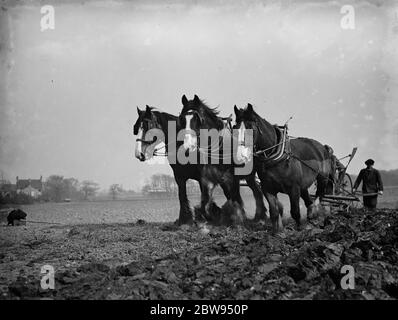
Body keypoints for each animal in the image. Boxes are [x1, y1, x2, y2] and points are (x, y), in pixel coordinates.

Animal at [235, 104, 334, 232]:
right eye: (234, 128)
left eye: (250, 128)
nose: (240, 156)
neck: (276, 156)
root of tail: (322, 147)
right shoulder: (268, 189)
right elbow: (274, 212)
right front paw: (277, 231)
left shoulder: (294, 188)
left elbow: (295, 212)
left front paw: (299, 229)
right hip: (303, 187)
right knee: (308, 201)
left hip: (322, 178)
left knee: (319, 195)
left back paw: (314, 212)